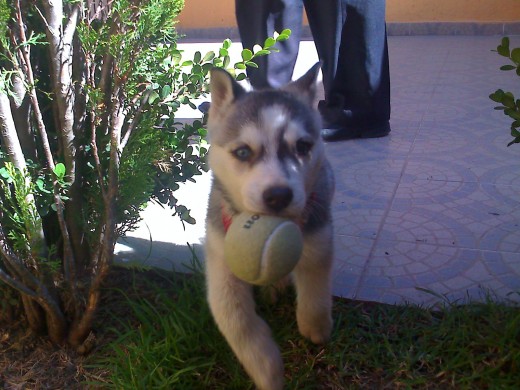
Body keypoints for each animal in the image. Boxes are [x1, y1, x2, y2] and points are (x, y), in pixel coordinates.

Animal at [205, 62, 336, 388]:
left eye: (302, 146)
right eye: (242, 152)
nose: (278, 195)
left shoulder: (318, 239)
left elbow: (316, 287)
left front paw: (315, 326)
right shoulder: (221, 262)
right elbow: (235, 319)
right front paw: (267, 369)